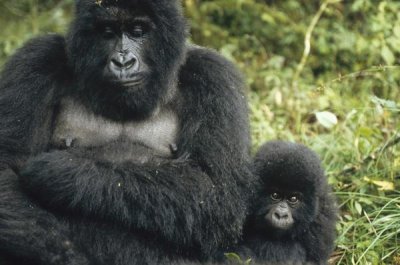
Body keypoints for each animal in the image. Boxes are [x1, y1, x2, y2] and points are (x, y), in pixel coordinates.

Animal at [0, 1, 256, 262]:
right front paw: (67, 256)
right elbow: (6, 168)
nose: (122, 62)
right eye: (108, 32)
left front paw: (60, 172)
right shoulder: (36, 61)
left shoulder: (214, 77)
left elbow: (216, 189)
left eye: (137, 31)